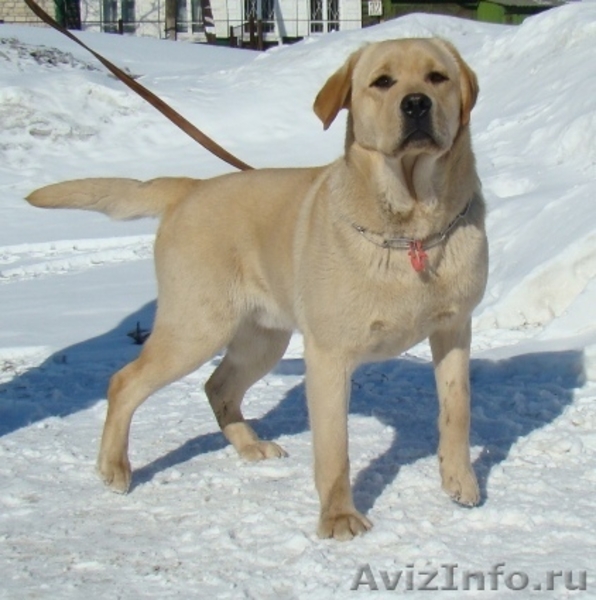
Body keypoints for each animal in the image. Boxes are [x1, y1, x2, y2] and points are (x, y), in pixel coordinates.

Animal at [25, 39, 486, 540]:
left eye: (437, 77)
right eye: (382, 81)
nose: (416, 103)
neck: (413, 229)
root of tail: (190, 188)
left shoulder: (453, 330)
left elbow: (458, 411)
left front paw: (459, 480)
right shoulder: (329, 356)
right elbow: (334, 449)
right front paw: (338, 516)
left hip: (262, 339)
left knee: (217, 386)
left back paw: (249, 446)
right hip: (195, 328)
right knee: (124, 382)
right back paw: (114, 467)